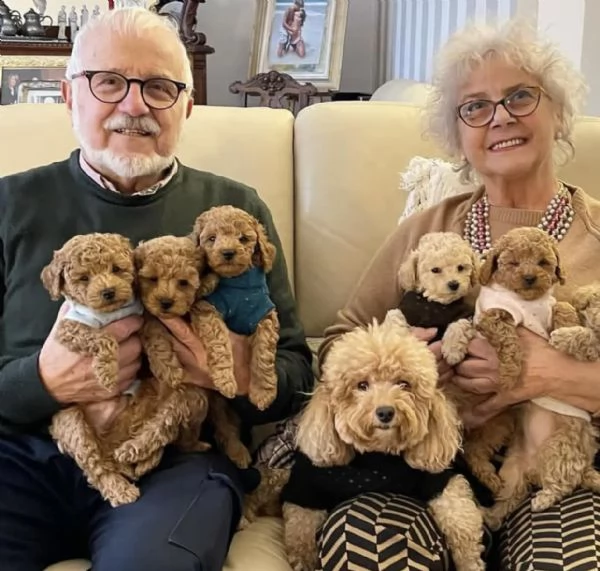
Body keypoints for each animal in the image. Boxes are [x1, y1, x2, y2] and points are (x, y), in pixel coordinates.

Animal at [117, 236, 253, 470]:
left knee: (191, 431)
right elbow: (154, 333)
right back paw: (134, 451)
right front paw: (169, 370)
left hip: (198, 399)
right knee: (158, 430)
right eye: (152, 279)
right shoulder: (148, 316)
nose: (165, 302)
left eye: (183, 282)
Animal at [189, 206, 280, 412]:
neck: (238, 283)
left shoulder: (264, 314)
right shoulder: (208, 308)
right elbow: (219, 342)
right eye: (212, 238)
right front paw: (225, 381)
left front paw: (263, 392)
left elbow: (263, 354)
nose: (228, 252)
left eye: (243, 238)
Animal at [278, 312, 486, 571]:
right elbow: (301, 523)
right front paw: (303, 560)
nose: (385, 412)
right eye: (362, 385)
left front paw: (470, 560)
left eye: (404, 384)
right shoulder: (307, 485)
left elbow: (460, 516)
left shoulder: (438, 479)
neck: (379, 456)